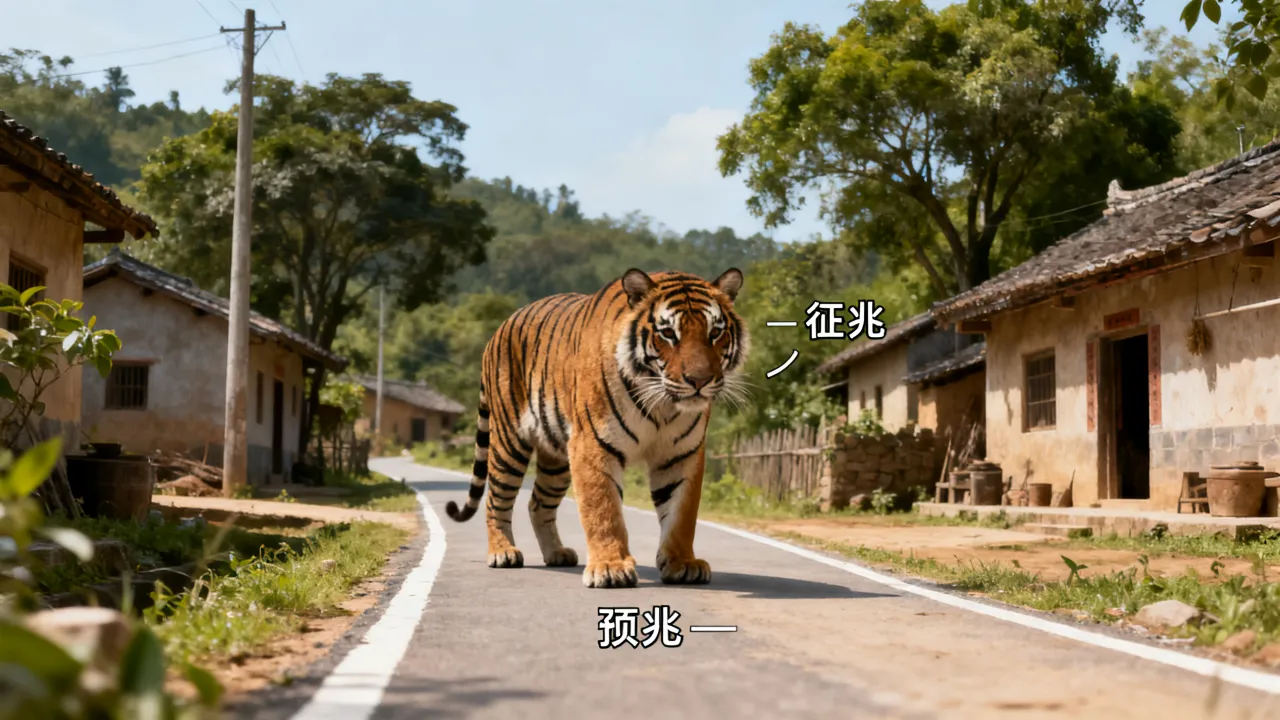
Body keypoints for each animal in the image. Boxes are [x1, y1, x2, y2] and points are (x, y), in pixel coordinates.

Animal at [445, 268, 749, 589]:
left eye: (714, 333)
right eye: (668, 333)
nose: (699, 380)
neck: (661, 405)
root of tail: (499, 330)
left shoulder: (681, 454)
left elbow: (681, 514)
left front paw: (682, 563)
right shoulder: (593, 444)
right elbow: (603, 508)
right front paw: (611, 567)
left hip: (556, 458)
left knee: (538, 503)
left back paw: (557, 553)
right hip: (509, 443)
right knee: (496, 499)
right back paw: (502, 552)